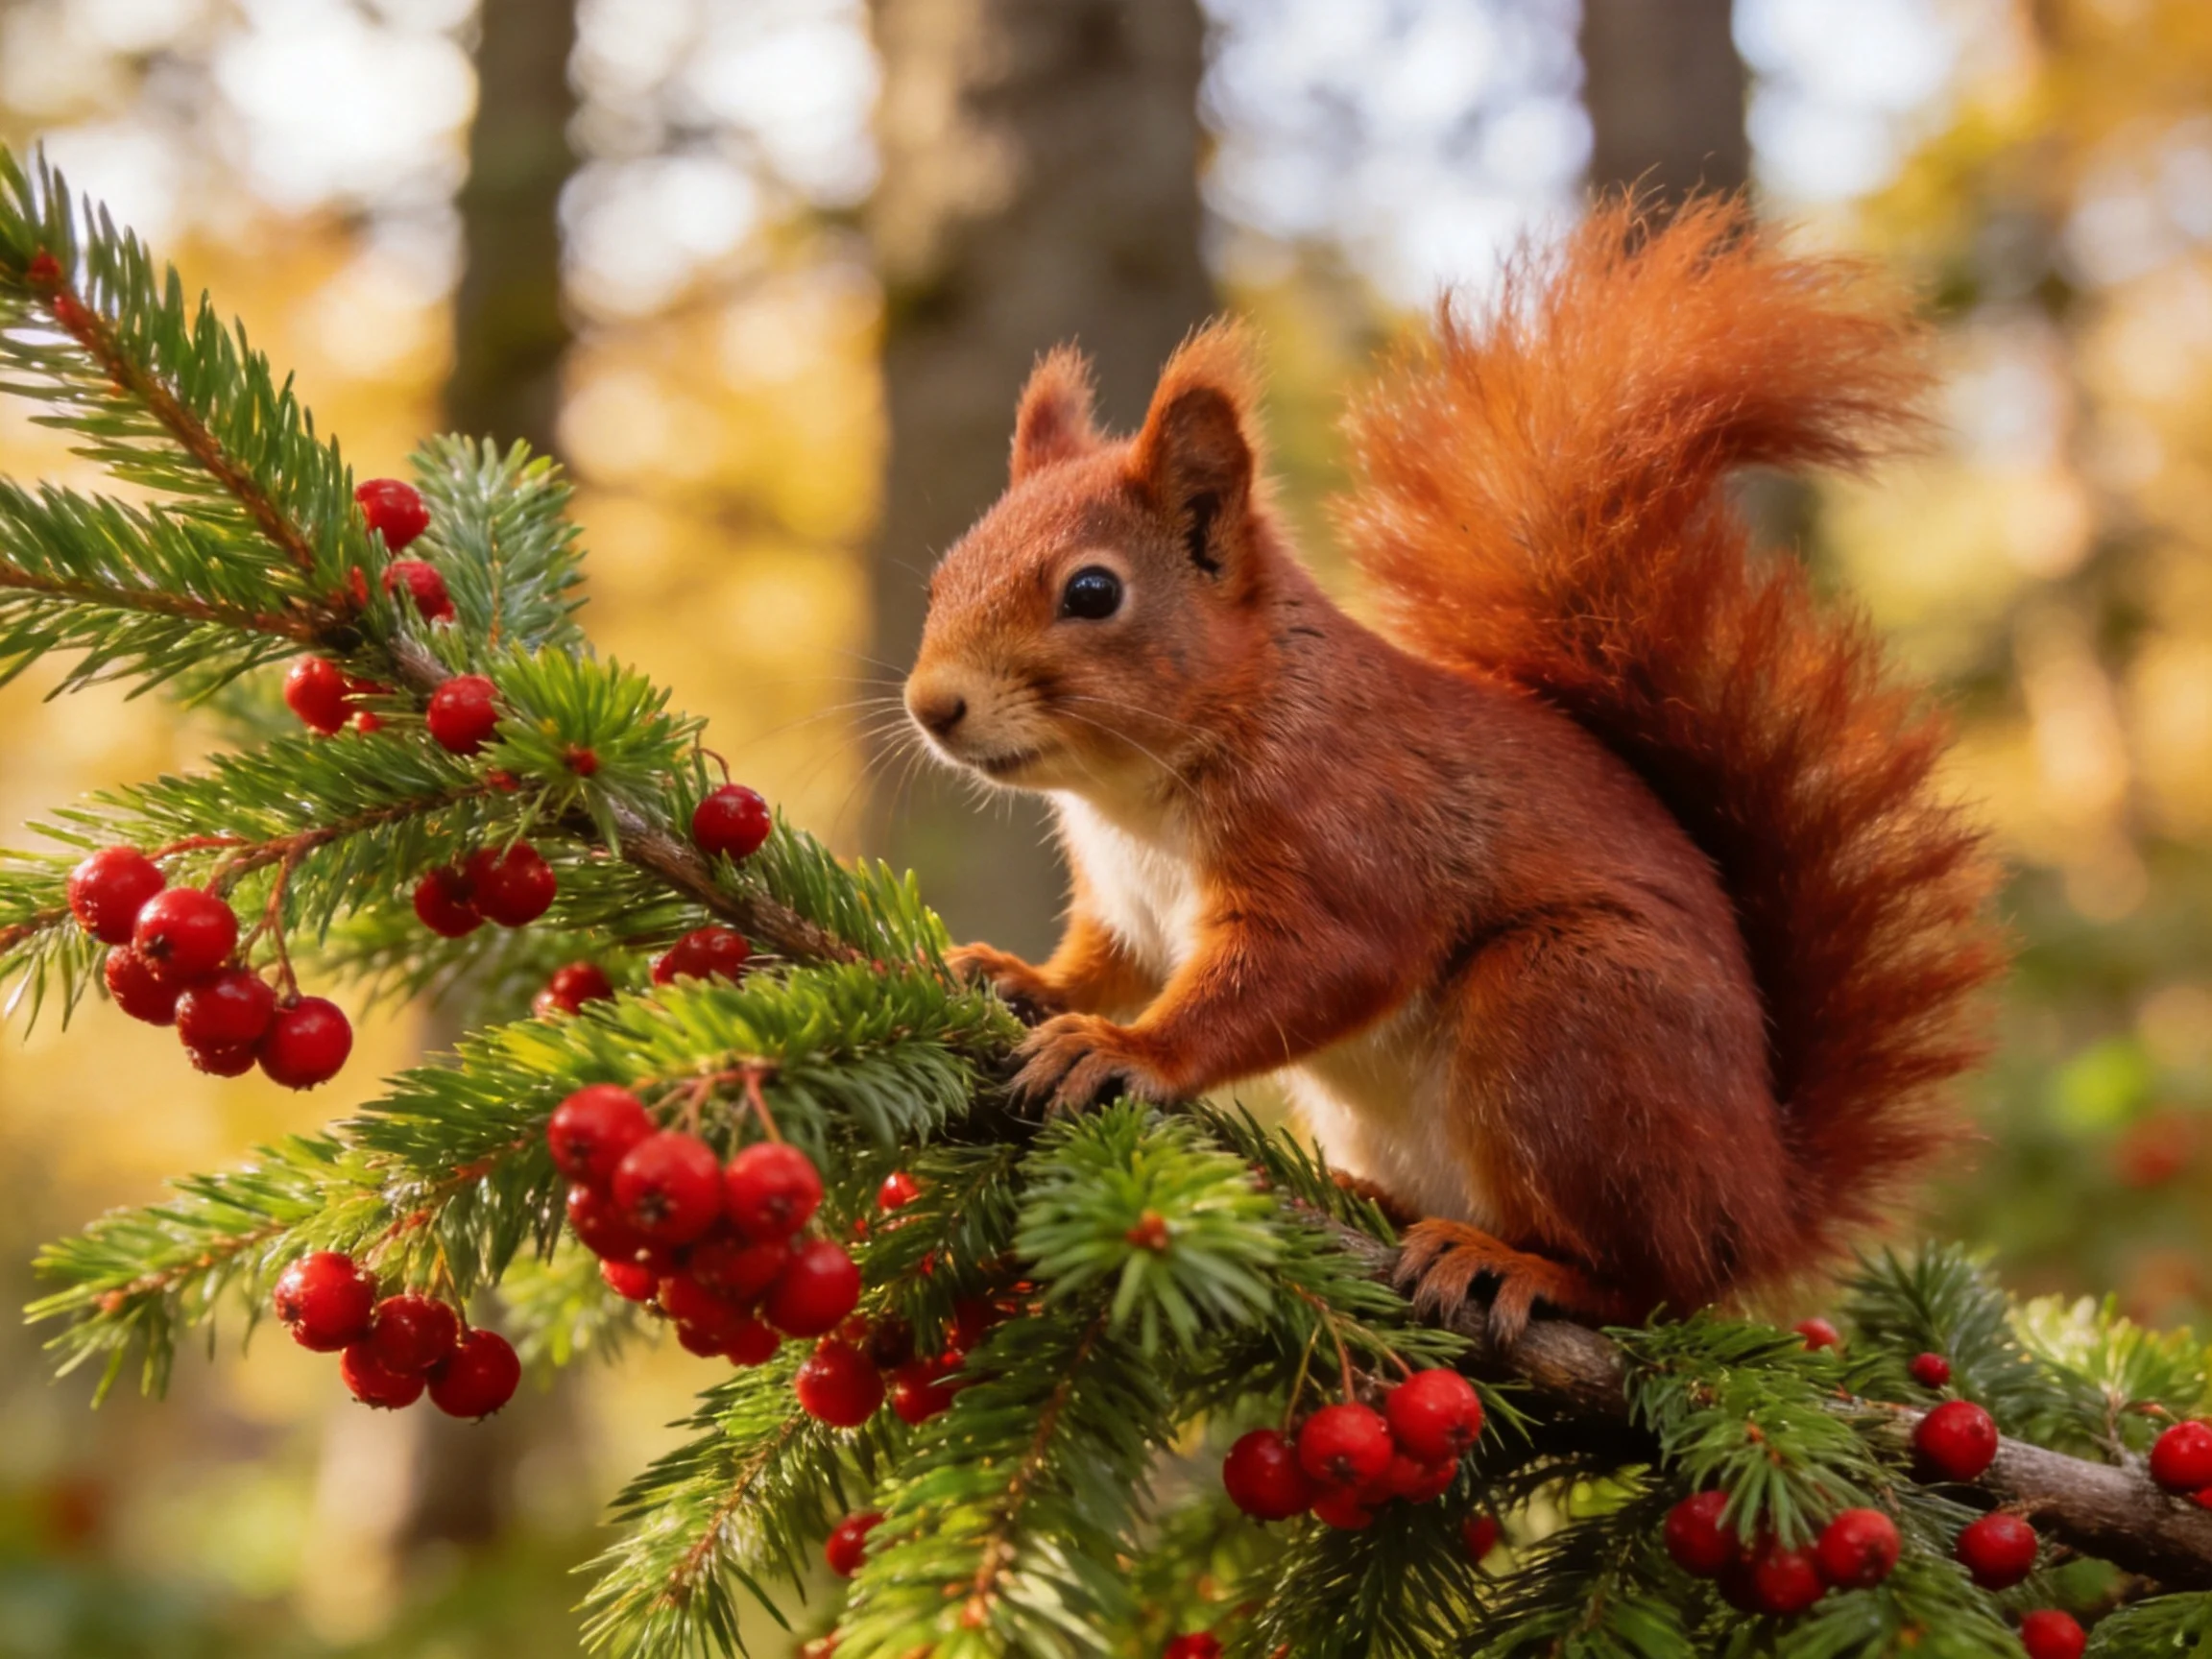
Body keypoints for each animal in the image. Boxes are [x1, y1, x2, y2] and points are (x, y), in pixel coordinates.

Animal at [900, 197, 2006, 1339]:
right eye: (942, 578)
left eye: (1092, 592)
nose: (932, 706)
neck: (1136, 796)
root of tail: (1764, 1206)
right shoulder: (1127, 905)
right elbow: (1107, 965)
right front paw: (1019, 977)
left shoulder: (1345, 835)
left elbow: (1306, 971)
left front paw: (1129, 1053)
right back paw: (1363, 1197)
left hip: (1567, 1013)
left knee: (1648, 1280)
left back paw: (1514, 1264)